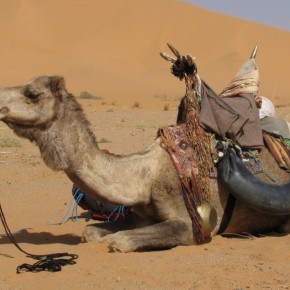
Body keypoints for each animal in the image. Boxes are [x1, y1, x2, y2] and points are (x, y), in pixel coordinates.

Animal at [0, 60, 288, 250]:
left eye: (32, 94)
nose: (0, 102)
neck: (145, 176)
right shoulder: (140, 216)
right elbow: (89, 231)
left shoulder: (191, 225)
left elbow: (119, 240)